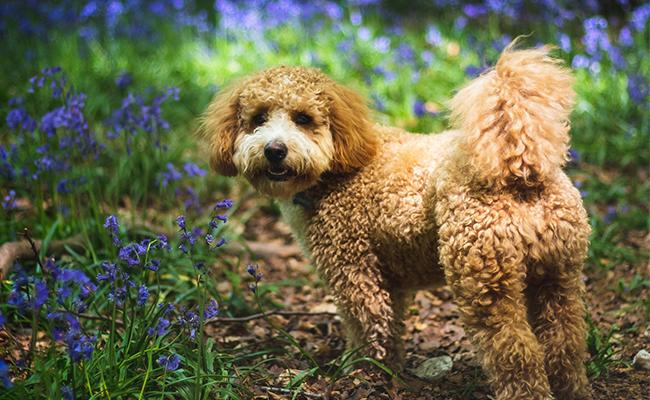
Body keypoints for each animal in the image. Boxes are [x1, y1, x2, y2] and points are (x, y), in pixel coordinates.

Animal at [204, 45, 592, 400]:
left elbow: (368, 327)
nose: (275, 150)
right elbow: (390, 327)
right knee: (565, 342)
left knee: (516, 350)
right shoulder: (392, 276)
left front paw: (360, 371)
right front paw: (389, 367)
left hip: (483, 281)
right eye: (258, 118)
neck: (339, 168)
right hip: (559, 275)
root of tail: (519, 168)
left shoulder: (354, 271)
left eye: (303, 118)